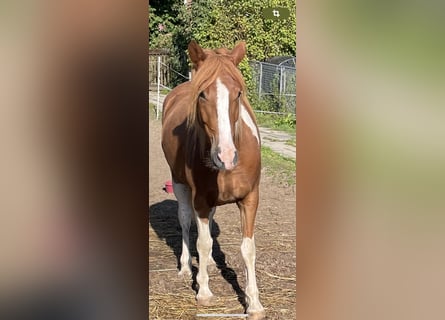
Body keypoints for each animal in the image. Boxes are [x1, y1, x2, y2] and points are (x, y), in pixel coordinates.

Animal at [160, 41, 264, 318]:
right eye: (202, 95)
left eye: (238, 94)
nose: (226, 156)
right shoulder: (201, 201)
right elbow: (204, 242)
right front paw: (204, 292)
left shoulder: (250, 199)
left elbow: (247, 249)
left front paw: (254, 303)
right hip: (180, 185)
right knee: (186, 222)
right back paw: (187, 268)